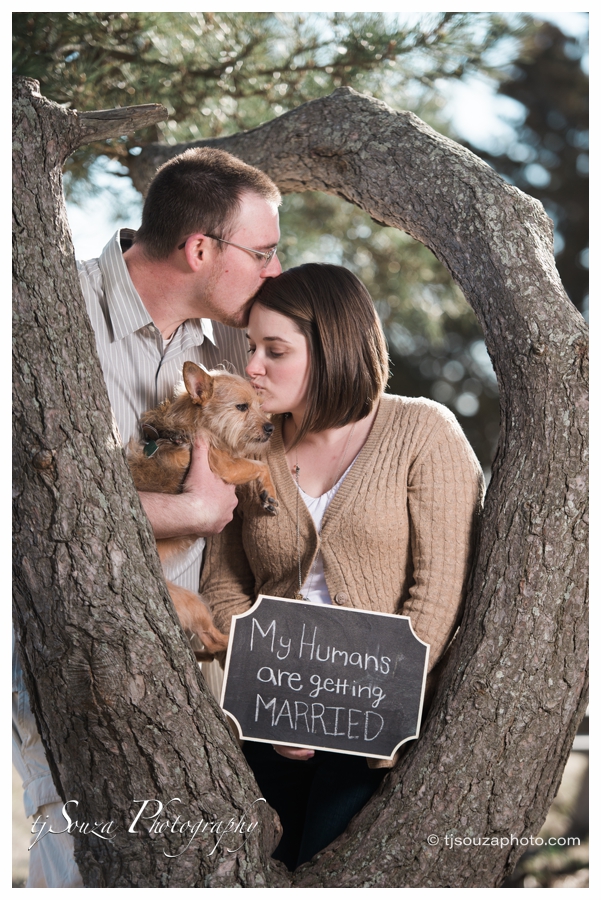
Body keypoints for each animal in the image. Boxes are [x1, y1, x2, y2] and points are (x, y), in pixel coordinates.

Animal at [127, 360, 278, 660]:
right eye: (241, 407)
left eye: (259, 404)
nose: (270, 427)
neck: (195, 426)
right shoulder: (225, 466)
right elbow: (259, 465)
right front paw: (269, 492)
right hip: (192, 602)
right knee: (213, 640)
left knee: (209, 643)